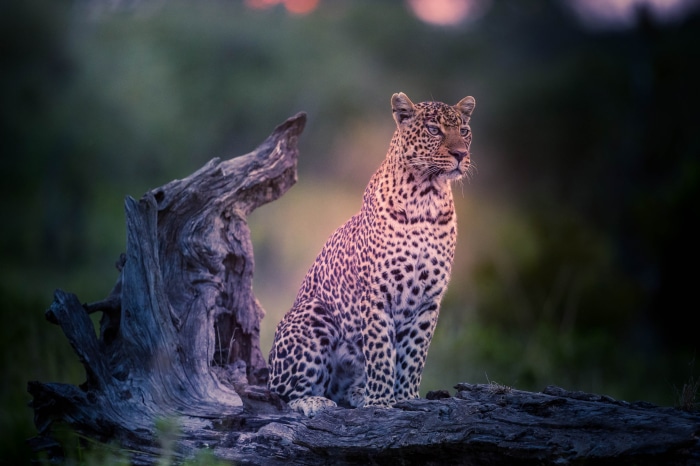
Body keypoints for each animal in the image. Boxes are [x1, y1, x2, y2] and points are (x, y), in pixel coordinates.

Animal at [267, 92, 476, 417]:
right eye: (434, 130)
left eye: (464, 131)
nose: (460, 154)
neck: (427, 198)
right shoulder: (377, 295)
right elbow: (380, 353)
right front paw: (380, 402)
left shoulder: (429, 300)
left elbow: (414, 354)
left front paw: (406, 397)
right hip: (313, 313)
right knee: (281, 393)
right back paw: (316, 401)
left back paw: (357, 393)